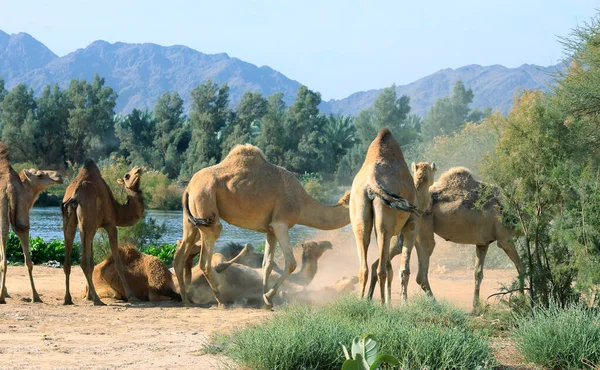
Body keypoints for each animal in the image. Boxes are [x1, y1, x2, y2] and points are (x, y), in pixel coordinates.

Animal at [0, 142, 63, 304]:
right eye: (40, 175)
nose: (59, 176)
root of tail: (9, 188)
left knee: (6, 260)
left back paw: (4, 296)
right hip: (22, 217)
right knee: (27, 260)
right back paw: (35, 297)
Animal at [61, 160, 145, 304]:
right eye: (127, 175)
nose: (138, 169)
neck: (117, 210)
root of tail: (74, 196)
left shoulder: (94, 227)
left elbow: (92, 262)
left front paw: (88, 296)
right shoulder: (110, 224)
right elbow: (118, 263)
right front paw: (132, 296)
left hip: (71, 221)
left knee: (68, 260)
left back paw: (68, 299)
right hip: (86, 222)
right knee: (83, 262)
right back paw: (98, 300)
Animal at [173, 145, 352, 310]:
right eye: (315, 245)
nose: (329, 244)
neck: (302, 202)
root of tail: (188, 187)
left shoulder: (270, 230)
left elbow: (267, 265)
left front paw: (265, 301)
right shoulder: (281, 223)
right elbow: (291, 263)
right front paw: (268, 297)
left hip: (192, 219)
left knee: (181, 253)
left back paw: (185, 300)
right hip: (206, 208)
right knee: (205, 259)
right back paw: (220, 301)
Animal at [346, 129, 422, 304]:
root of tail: (372, 182)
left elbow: (391, 267)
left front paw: (391, 303)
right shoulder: (411, 225)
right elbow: (404, 269)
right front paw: (404, 304)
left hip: (360, 215)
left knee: (365, 266)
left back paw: (362, 301)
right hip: (384, 224)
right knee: (381, 269)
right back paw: (380, 304)